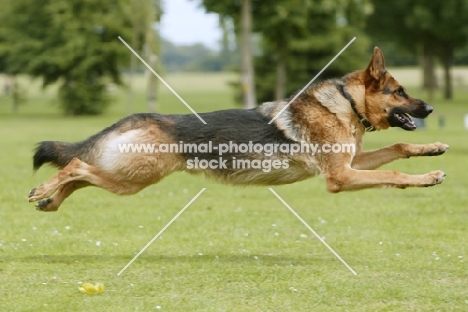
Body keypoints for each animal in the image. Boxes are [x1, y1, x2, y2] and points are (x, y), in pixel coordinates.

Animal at [28, 47, 446, 212]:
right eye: (399, 91)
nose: (430, 108)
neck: (345, 103)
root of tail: (142, 117)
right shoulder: (340, 176)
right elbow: (394, 173)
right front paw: (426, 179)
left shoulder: (352, 162)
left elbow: (398, 148)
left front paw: (433, 150)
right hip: (134, 176)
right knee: (76, 166)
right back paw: (44, 191)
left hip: (126, 176)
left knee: (81, 173)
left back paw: (50, 201)